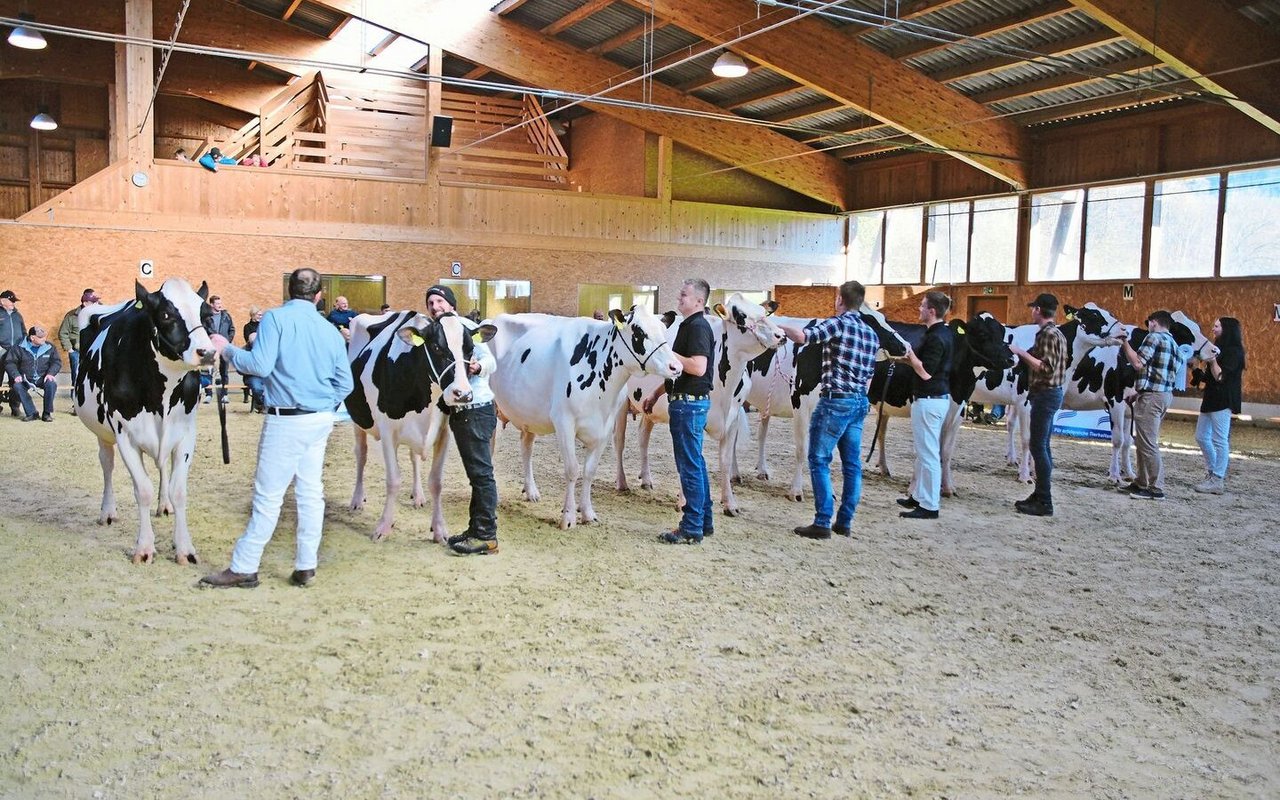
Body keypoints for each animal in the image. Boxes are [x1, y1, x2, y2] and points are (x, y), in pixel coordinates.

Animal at [73, 277, 215, 565]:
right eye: (166, 315)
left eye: (206, 315)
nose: (207, 352)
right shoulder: (125, 434)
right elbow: (143, 490)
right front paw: (144, 548)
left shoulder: (186, 432)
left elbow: (179, 490)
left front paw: (184, 548)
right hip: (102, 432)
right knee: (107, 465)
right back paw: (107, 512)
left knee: (163, 466)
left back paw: (165, 505)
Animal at [345, 308, 494, 540]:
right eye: (436, 347)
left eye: (470, 349)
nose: (462, 394)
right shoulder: (387, 432)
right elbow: (393, 480)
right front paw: (383, 527)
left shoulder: (444, 432)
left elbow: (436, 482)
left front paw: (439, 529)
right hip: (358, 419)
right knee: (361, 454)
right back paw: (357, 499)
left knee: (414, 458)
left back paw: (418, 496)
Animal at [488, 305, 686, 529]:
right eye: (639, 332)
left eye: (663, 330)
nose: (676, 367)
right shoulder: (564, 421)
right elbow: (572, 470)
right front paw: (568, 516)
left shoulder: (605, 427)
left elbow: (589, 471)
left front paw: (588, 513)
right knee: (491, 447)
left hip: (529, 413)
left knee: (526, 447)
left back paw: (531, 491)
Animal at [611, 291, 783, 512]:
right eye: (741, 316)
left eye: (764, 312)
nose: (780, 334)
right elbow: (687, 457)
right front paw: (684, 501)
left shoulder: (733, 419)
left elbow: (725, 461)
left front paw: (730, 503)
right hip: (621, 402)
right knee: (619, 440)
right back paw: (622, 482)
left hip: (649, 408)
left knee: (643, 436)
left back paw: (647, 480)